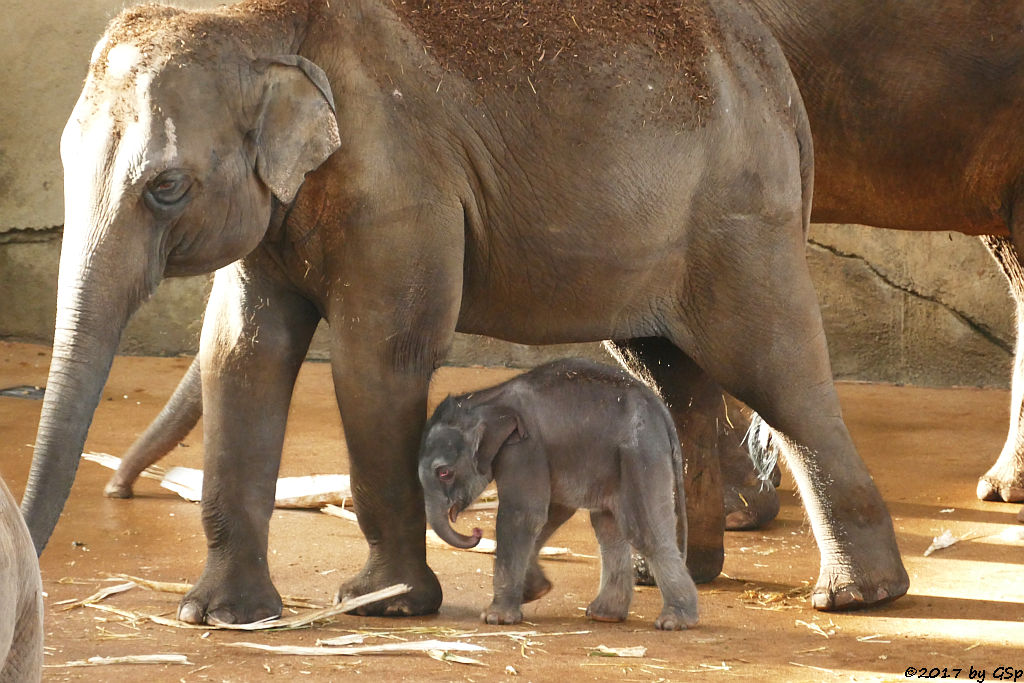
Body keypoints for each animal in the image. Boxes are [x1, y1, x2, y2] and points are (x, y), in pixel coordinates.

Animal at [22, 0, 905, 626]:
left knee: (775, 372)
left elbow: (377, 358)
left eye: (167, 187)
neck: (259, 22)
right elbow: (242, 353)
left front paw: (388, 605)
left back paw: (857, 597)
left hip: (741, 216)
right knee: (667, 369)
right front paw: (218, 616)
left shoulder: (400, 178)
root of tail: (775, 72)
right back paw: (668, 573)